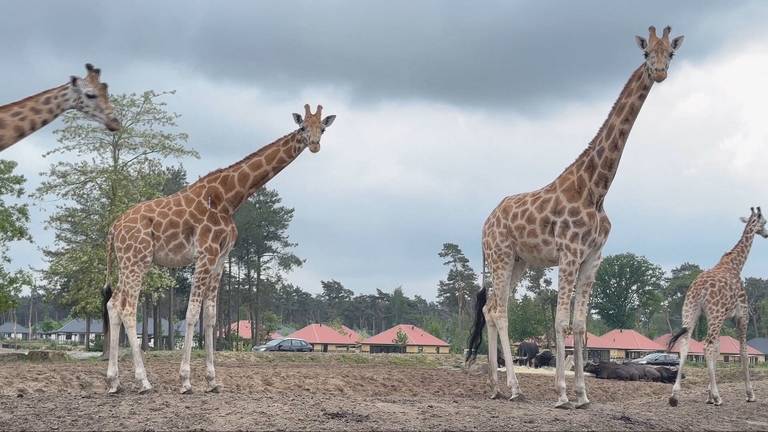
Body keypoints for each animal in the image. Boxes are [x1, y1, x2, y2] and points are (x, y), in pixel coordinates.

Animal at [100, 103, 334, 394]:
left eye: (322, 128)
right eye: (302, 127)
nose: (314, 144)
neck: (230, 198)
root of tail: (113, 227)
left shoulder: (221, 258)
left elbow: (211, 316)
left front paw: (212, 380)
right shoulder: (205, 253)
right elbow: (191, 313)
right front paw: (185, 380)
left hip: (127, 262)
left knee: (113, 304)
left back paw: (113, 381)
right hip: (137, 260)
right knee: (128, 308)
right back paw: (143, 381)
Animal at [664, 208, 768, 406]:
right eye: (764, 221)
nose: (766, 233)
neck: (735, 265)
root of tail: (699, 290)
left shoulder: (721, 318)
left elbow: (719, 350)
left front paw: (708, 395)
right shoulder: (742, 316)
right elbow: (743, 352)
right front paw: (748, 394)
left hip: (691, 311)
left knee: (686, 344)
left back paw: (674, 395)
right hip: (715, 314)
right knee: (706, 346)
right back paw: (719, 397)